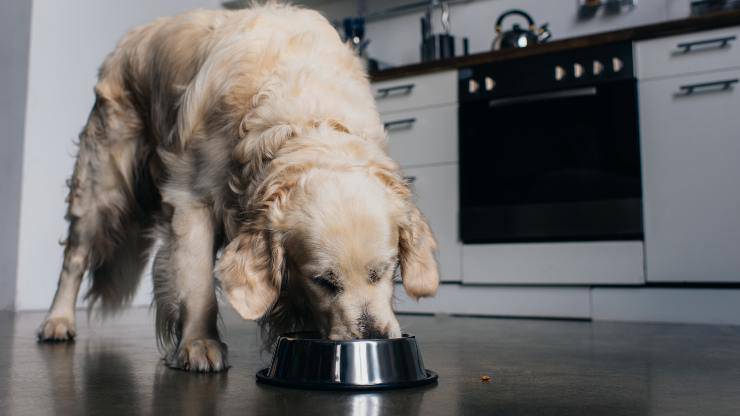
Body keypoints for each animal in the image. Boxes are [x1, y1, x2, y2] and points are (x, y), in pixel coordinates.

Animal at [36, 3, 440, 372]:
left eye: (385, 271)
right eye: (323, 281)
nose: (373, 336)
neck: (304, 118)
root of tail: (128, 42)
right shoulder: (190, 201)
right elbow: (197, 281)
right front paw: (199, 344)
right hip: (101, 185)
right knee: (74, 258)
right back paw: (57, 321)